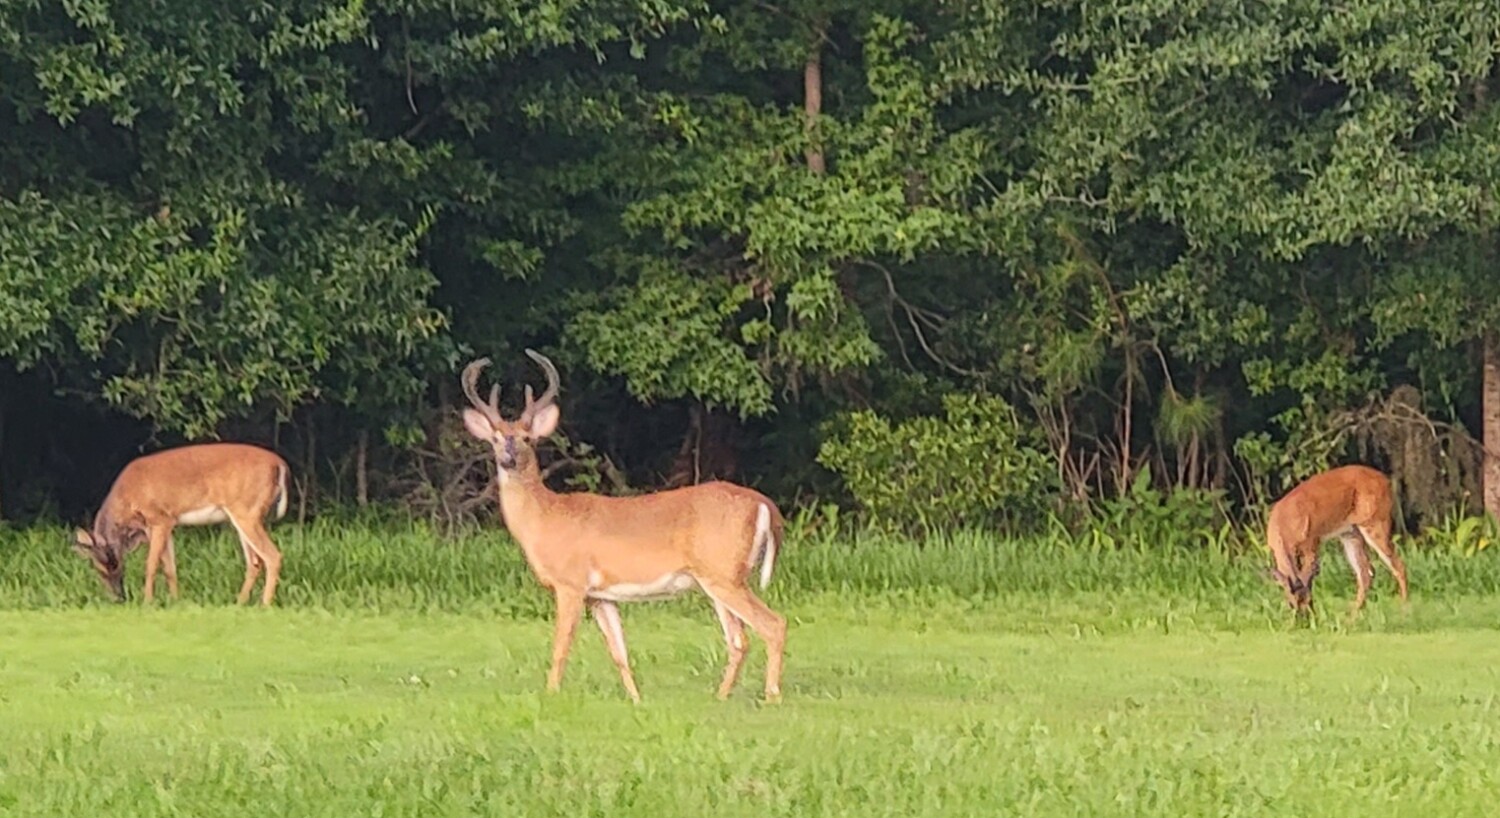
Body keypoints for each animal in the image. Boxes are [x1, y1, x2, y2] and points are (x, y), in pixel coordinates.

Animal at [73, 442, 291, 606]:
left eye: (113, 567)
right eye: (100, 570)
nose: (119, 598)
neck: (126, 500)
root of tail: (279, 464)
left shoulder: (159, 518)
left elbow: (151, 564)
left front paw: (147, 602)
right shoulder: (168, 523)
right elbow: (170, 567)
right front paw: (176, 601)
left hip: (246, 511)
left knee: (272, 556)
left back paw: (265, 604)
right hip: (243, 515)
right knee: (254, 561)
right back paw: (239, 603)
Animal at [460, 350, 788, 703]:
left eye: (526, 438)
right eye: (495, 438)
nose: (507, 458)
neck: (545, 517)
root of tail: (764, 504)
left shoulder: (570, 583)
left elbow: (561, 646)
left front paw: (550, 694)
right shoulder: (601, 595)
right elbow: (619, 651)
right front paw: (636, 699)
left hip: (723, 572)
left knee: (773, 624)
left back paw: (771, 696)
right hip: (719, 576)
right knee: (739, 639)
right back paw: (721, 696)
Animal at [1265, 464, 1409, 616]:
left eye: (1309, 600)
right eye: (1292, 603)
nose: (1305, 617)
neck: (1284, 526)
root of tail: (1385, 480)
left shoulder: (1312, 541)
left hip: (1375, 522)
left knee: (1398, 565)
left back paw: (1404, 608)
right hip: (1350, 533)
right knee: (1365, 574)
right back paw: (1352, 616)